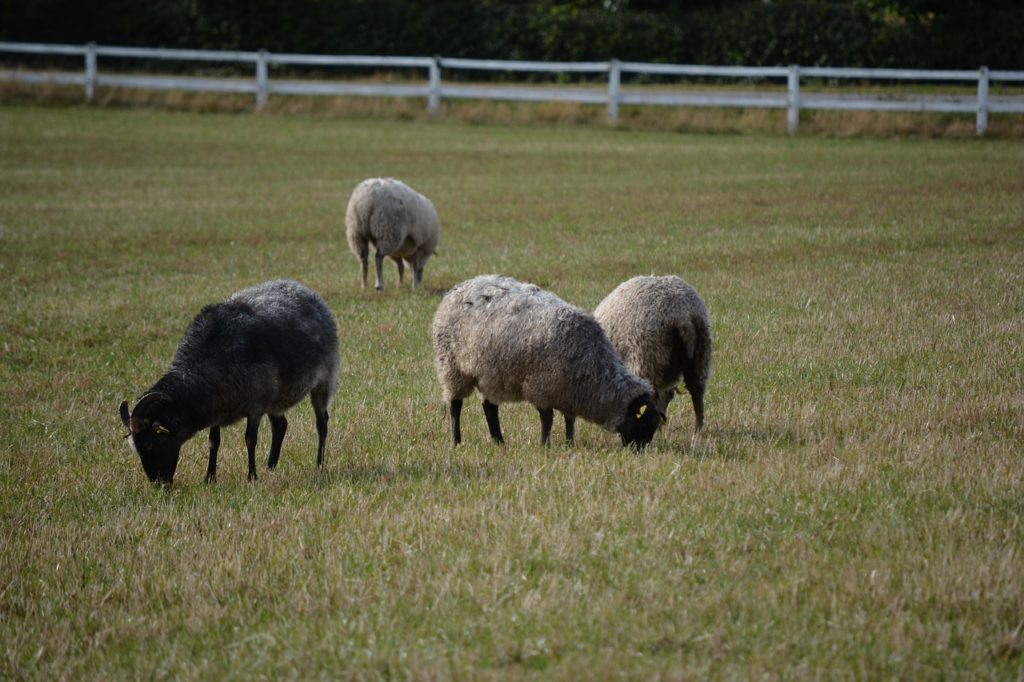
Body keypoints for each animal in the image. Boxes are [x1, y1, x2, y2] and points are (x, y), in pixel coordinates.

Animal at [116, 278, 339, 483]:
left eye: (148, 445)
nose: (158, 484)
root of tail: (306, 291)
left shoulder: (255, 405)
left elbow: (250, 439)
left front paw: (251, 476)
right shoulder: (218, 407)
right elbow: (213, 441)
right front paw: (209, 478)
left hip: (323, 381)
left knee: (321, 423)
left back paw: (319, 464)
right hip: (275, 398)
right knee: (280, 426)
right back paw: (270, 466)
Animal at [425, 274, 659, 448]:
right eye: (643, 423)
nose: (638, 451)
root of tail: (458, 287)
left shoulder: (568, 393)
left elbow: (569, 419)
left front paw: (569, 443)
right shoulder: (543, 387)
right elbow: (547, 419)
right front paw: (545, 445)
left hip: (489, 373)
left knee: (489, 408)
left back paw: (499, 441)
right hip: (452, 366)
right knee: (455, 405)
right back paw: (456, 441)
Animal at [593, 274, 712, 428]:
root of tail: (684, 315)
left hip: (647, 357)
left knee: (654, 398)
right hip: (700, 354)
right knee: (696, 393)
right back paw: (697, 429)